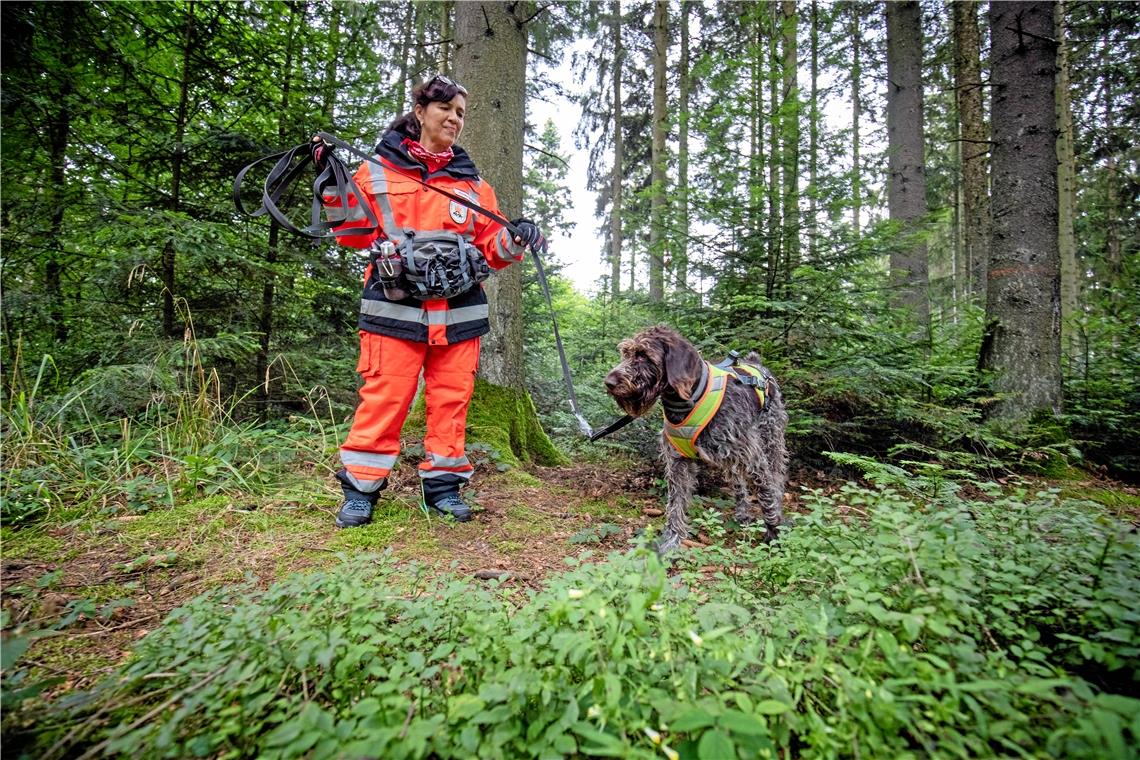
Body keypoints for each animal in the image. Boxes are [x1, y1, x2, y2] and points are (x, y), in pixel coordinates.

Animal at [606, 323, 784, 553]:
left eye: (643, 355)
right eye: (626, 353)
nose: (608, 382)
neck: (688, 400)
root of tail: (755, 362)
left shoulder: (753, 459)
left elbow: (766, 495)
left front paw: (774, 535)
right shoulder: (678, 463)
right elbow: (675, 505)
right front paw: (671, 542)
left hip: (771, 440)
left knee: (776, 478)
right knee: (738, 483)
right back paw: (742, 513)